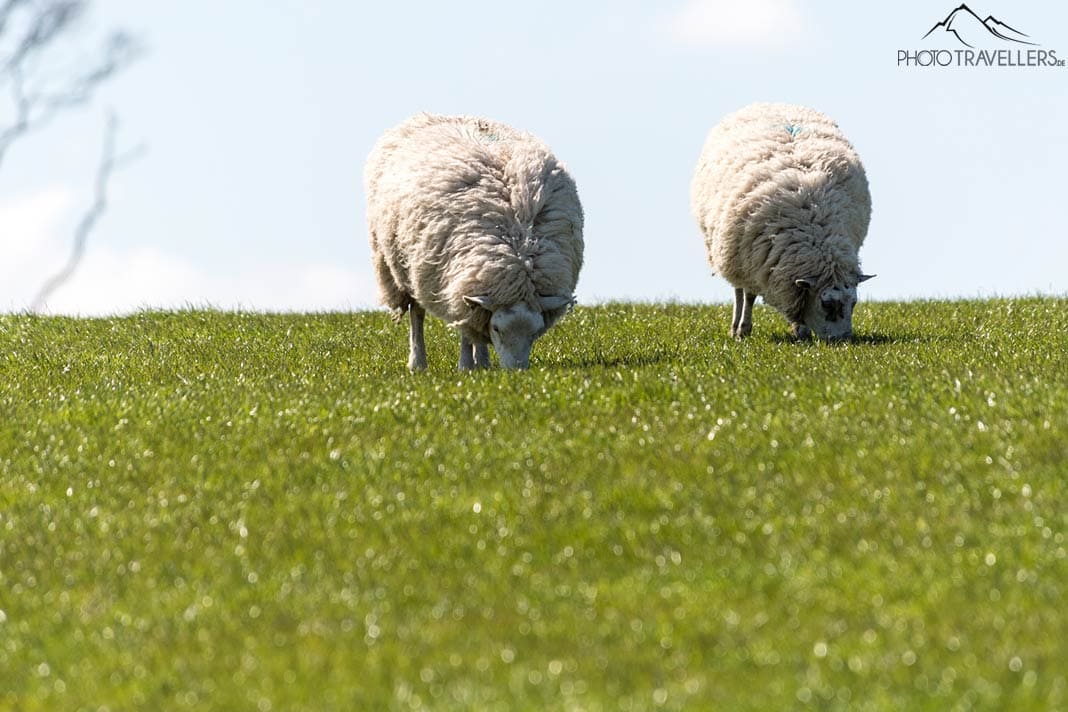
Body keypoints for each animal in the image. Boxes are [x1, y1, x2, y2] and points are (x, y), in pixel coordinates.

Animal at [367, 112, 585, 373]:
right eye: (498, 329)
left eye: (535, 332)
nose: (517, 371)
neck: (519, 249)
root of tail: (428, 116)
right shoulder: (454, 283)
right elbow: (465, 329)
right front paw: (465, 366)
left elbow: (475, 329)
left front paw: (477, 363)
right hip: (402, 267)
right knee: (416, 313)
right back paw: (418, 363)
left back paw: (482, 361)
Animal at [692, 102, 875, 341]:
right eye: (826, 305)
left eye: (853, 303)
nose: (844, 341)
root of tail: (767, 103)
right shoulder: (754, 258)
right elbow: (749, 295)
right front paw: (744, 329)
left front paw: (801, 331)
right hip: (731, 253)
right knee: (739, 290)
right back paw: (736, 328)